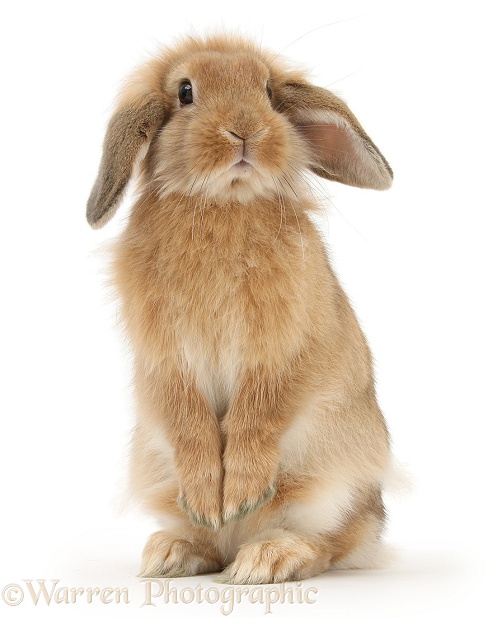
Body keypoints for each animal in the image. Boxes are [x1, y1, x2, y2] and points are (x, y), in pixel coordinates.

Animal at [87, 33, 394, 584]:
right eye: (185, 92)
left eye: (268, 91)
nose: (245, 130)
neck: (226, 202)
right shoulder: (168, 361)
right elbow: (188, 421)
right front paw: (210, 499)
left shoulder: (280, 353)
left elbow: (258, 415)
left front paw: (241, 494)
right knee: (214, 541)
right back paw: (173, 551)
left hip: (331, 486)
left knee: (329, 544)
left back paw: (263, 560)